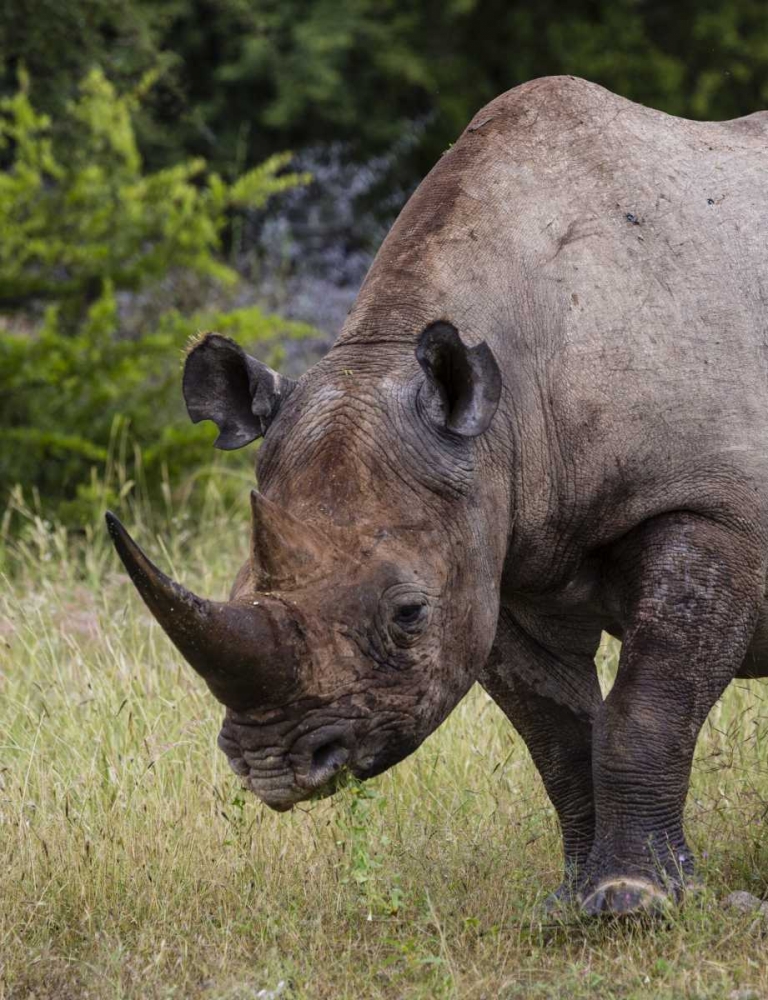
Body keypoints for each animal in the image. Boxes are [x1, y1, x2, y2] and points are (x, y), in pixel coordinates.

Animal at [106, 75, 768, 917]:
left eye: (408, 614)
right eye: (239, 584)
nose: (274, 769)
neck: (510, 404)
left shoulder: (710, 508)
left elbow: (646, 709)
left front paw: (634, 900)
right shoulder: (495, 548)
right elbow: (558, 732)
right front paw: (569, 904)